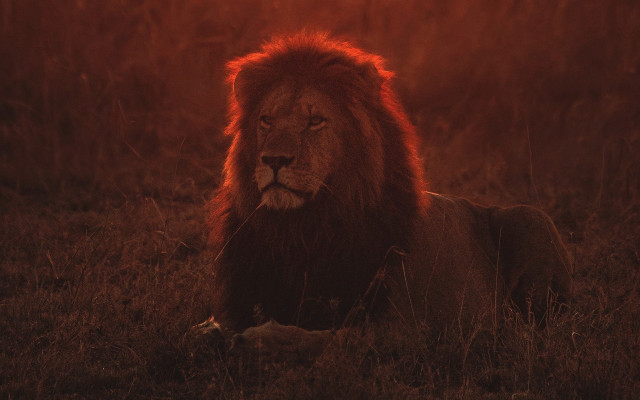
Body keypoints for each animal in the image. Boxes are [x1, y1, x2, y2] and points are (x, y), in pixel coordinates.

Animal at [196, 33, 572, 356]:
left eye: (316, 120)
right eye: (266, 120)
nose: (274, 160)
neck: (302, 229)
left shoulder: (405, 328)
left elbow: (331, 339)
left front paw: (263, 338)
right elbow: (204, 330)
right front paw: (218, 334)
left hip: (531, 218)